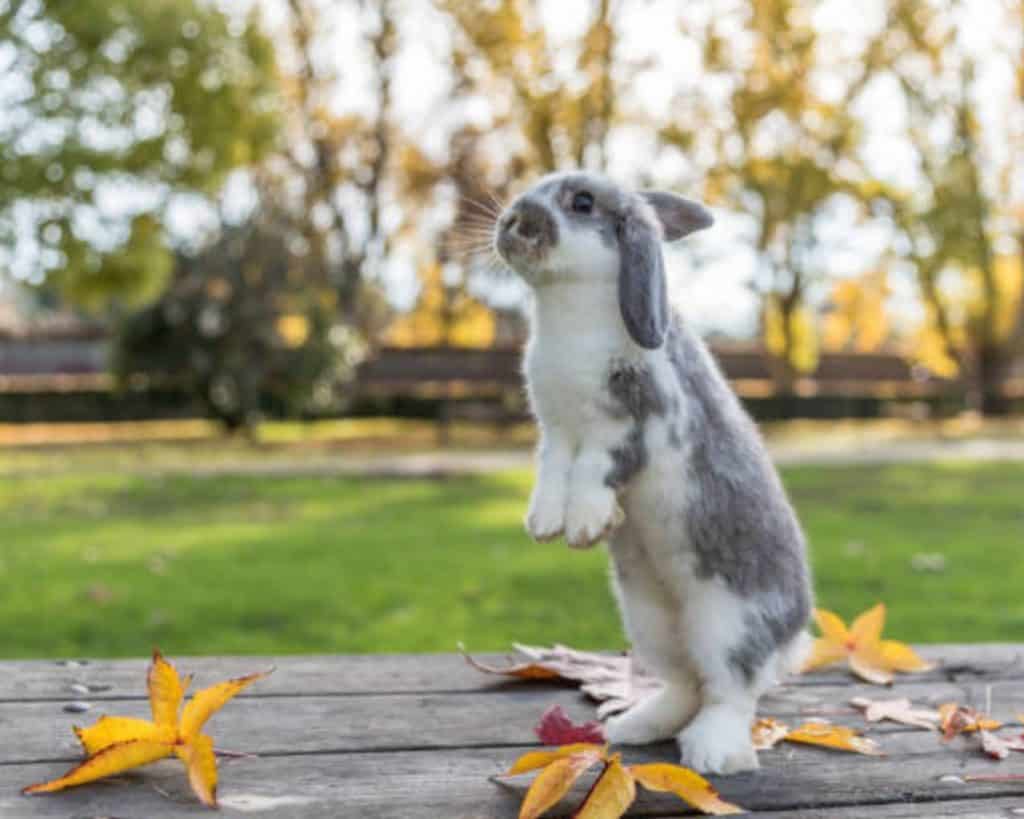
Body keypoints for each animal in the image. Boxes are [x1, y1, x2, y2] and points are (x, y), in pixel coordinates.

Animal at [491, 170, 811, 773]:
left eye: (582, 202)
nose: (512, 221)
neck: (570, 307)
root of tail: (795, 632)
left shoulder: (628, 425)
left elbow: (594, 471)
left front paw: (584, 524)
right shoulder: (554, 432)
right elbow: (552, 473)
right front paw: (544, 525)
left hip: (727, 623)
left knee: (730, 691)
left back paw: (713, 753)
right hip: (651, 621)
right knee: (686, 685)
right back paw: (632, 727)